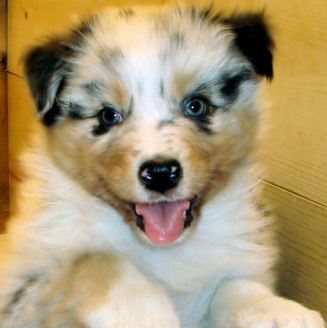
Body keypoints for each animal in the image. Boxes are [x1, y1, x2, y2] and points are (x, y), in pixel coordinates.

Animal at [0, 5, 326, 328]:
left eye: (196, 105)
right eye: (108, 116)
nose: (160, 174)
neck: (163, 250)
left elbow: (233, 285)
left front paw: (280, 312)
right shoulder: (22, 284)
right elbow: (95, 261)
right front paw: (147, 314)